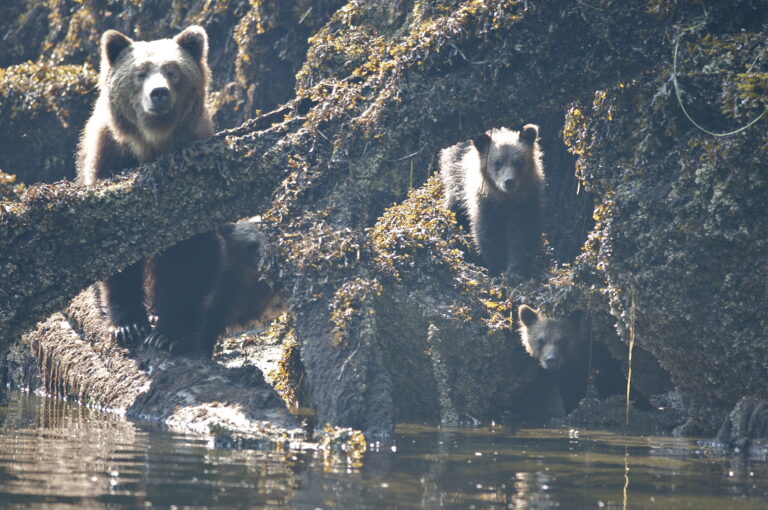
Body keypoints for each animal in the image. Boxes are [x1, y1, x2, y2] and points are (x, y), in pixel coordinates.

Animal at [76, 26, 271, 356]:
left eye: (172, 71)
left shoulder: (193, 187)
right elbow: (113, 254)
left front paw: (168, 333)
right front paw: (128, 325)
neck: (151, 145)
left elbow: (185, 259)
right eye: (140, 73)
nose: (159, 93)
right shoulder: (109, 162)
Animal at [440, 125, 544, 277]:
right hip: (455, 174)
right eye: (497, 163)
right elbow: (488, 233)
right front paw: (497, 266)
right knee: (455, 205)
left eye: (518, 161)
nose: (509, 181)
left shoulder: (526, 202)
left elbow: (524, 233)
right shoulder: (486, 203)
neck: (506, 199)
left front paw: (515, 271)